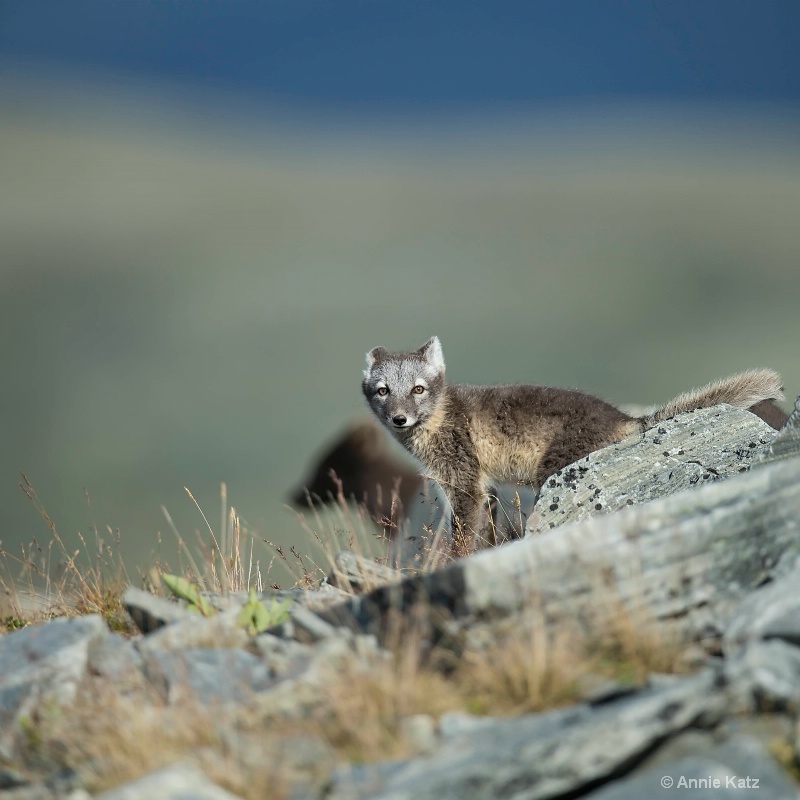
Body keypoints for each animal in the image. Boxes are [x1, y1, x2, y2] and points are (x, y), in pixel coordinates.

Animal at [362, 334, 788, 552]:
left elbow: (463, 538)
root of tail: (623, 418)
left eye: (418, 389)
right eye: (383, 391)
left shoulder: (464, 481)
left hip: (554, 472)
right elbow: (487, 532)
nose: (399, 418)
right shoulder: (484, 487)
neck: (440, 418)